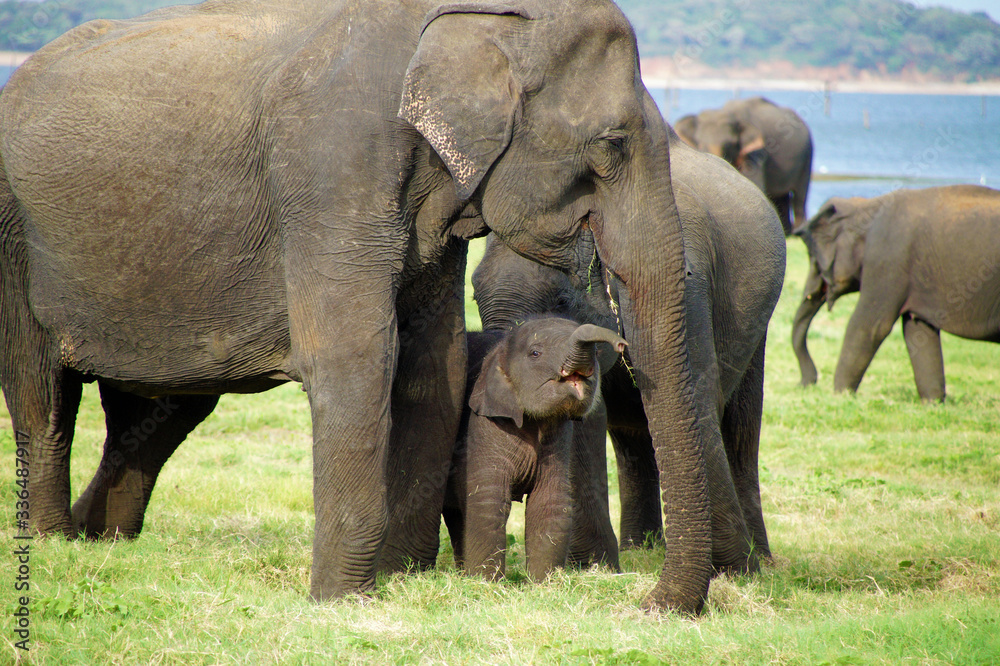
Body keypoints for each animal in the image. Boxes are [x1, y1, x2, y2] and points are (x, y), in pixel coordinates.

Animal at [442, 318, 627, 582]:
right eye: (535, 353)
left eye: (597, 354)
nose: (622, 344)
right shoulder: (483, 426)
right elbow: (488, 500)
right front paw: (485, 583)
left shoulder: (559, 435)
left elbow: (550, 501)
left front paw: (542, 583)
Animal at [472, 125, 787, 577]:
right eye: (474, 297)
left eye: (562, 302)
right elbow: (589, 414)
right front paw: (594, 567)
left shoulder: (685, 282)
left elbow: (698, 397)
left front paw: (737, 573)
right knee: (632, 437)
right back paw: (643, 547)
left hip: (758, 325)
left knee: (740, 429)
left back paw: (760, 560)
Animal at [674, 97, 813, 235]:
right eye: (699, 142)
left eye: (730, 144)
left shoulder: (758, 152)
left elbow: (755, 182)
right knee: (782, 199)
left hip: (807, 156)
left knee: (799, 197)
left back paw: (799, 231)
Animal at [792, 186, 1000, 401]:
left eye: (814, 260)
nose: (804, 383)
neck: (867, 205)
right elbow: (917, 328)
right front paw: (932, 403)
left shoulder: (887, 259)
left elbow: (869, 326)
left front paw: (841, 396)